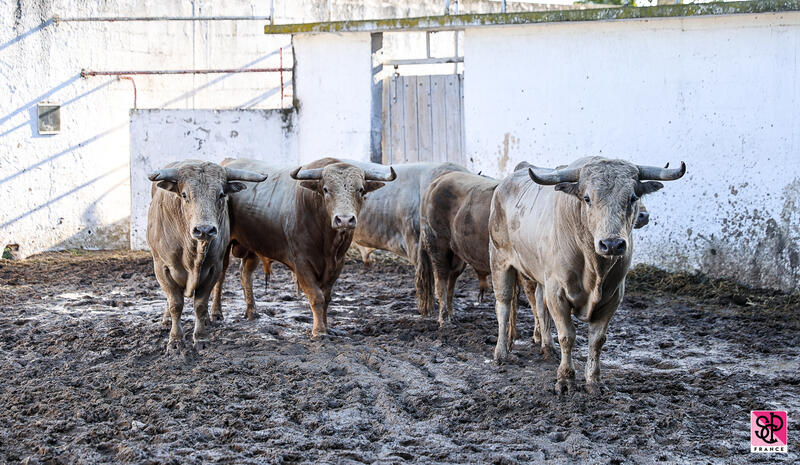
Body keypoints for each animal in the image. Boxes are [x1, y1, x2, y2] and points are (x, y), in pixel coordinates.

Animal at [490, 156, 684, 392]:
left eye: (632, 197)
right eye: (587, 198)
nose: (612, 244)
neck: (594, 269)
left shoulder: (612, 297)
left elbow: (597, 340)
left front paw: (594, 380)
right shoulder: (557, 292)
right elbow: (567, 336)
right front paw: (565, 379)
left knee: (540, 306)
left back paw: (548, 348)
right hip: (500, 260)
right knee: (503, 306)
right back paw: (501, 354)